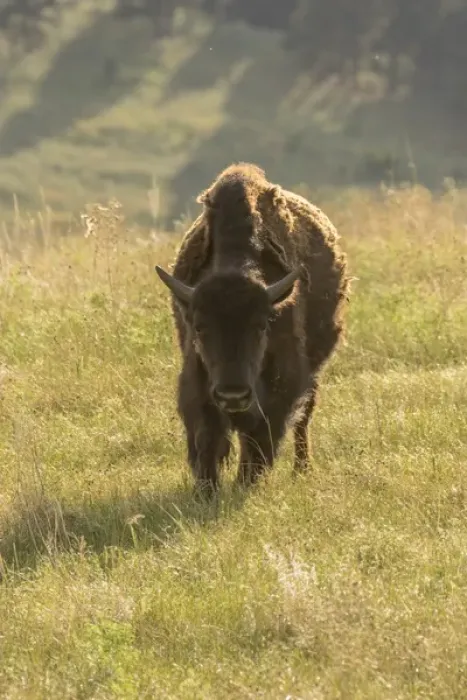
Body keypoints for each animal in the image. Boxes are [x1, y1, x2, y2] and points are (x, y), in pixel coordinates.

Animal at [156, 162, 350, 494]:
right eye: (199, 327)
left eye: (261, 325)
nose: (233, 395)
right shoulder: (197, 384)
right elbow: (206, 439)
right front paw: (206, 491)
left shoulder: (282, 387)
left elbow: (260, 439)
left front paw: (246, 483)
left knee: (304, 419)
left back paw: (302, 469)